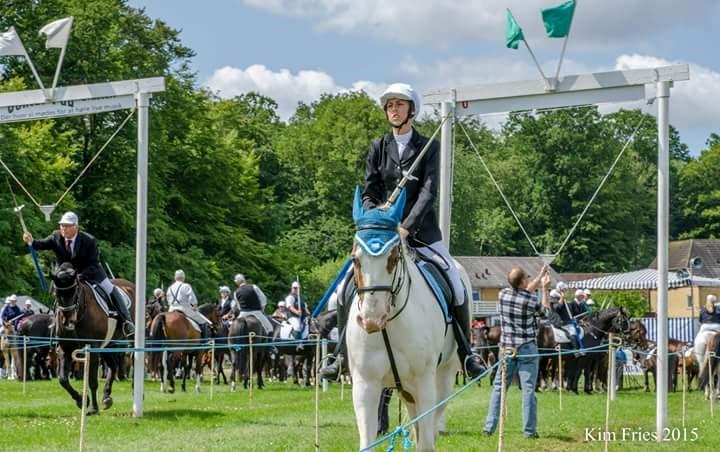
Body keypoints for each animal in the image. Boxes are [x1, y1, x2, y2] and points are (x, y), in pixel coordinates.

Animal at [51, 264, 136, 414]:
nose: (68, 322)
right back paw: (106, 396)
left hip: (130, 339)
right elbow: (63, 379)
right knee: (113, 367)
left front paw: (93, 408)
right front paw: (81, 400)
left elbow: (92, 381)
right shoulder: (65, 349)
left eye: (75, 292)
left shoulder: (93, 350)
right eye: (57, 293)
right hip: (109, 344)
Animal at [348, 188, 470, 452]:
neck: (390, 326)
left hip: (442, 378)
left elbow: (426, 443)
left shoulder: (425, 384)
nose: (372, 319)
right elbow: (367, 442)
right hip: (406, 390)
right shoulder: (365, 385)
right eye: (355, 259)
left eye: (393, 257)